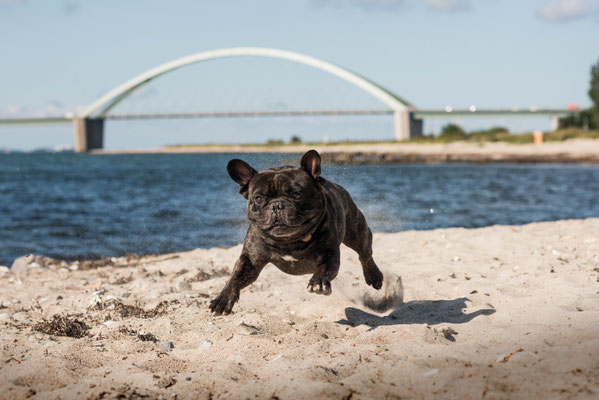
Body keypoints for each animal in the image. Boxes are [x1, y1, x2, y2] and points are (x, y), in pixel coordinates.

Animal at [211, 150, 384, 316]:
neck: (290, 241)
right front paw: (223, 299)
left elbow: (325, 268)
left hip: (356, 231)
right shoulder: (250, 260)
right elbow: (236, 277)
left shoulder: (329, 253)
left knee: (365, 253)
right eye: (259, 198)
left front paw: (318, 282)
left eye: (296, 195)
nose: (277, 205)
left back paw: (374, 277)